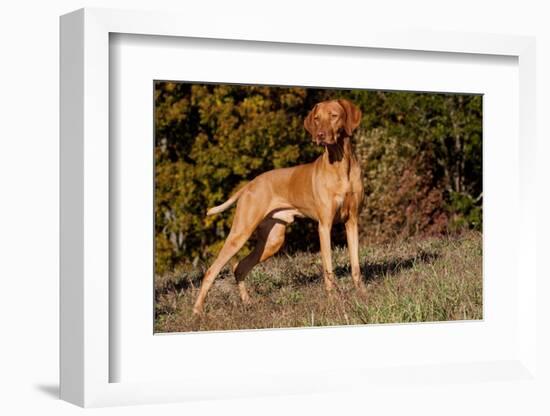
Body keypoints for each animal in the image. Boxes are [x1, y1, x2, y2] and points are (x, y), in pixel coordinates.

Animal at [194, 99, 366, 314]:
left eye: (334, 116)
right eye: (317, 119)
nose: (319, 136)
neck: (341, 166)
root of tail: (250, 185)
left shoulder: (352, 222)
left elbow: (356, 265)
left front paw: (362, 295)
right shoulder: (324, 226)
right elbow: (328, 268)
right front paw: (333, 300)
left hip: (272, 241)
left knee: (239, 267)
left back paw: (248, 303)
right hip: (240, 233)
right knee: (212, 270)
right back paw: (197, 310)